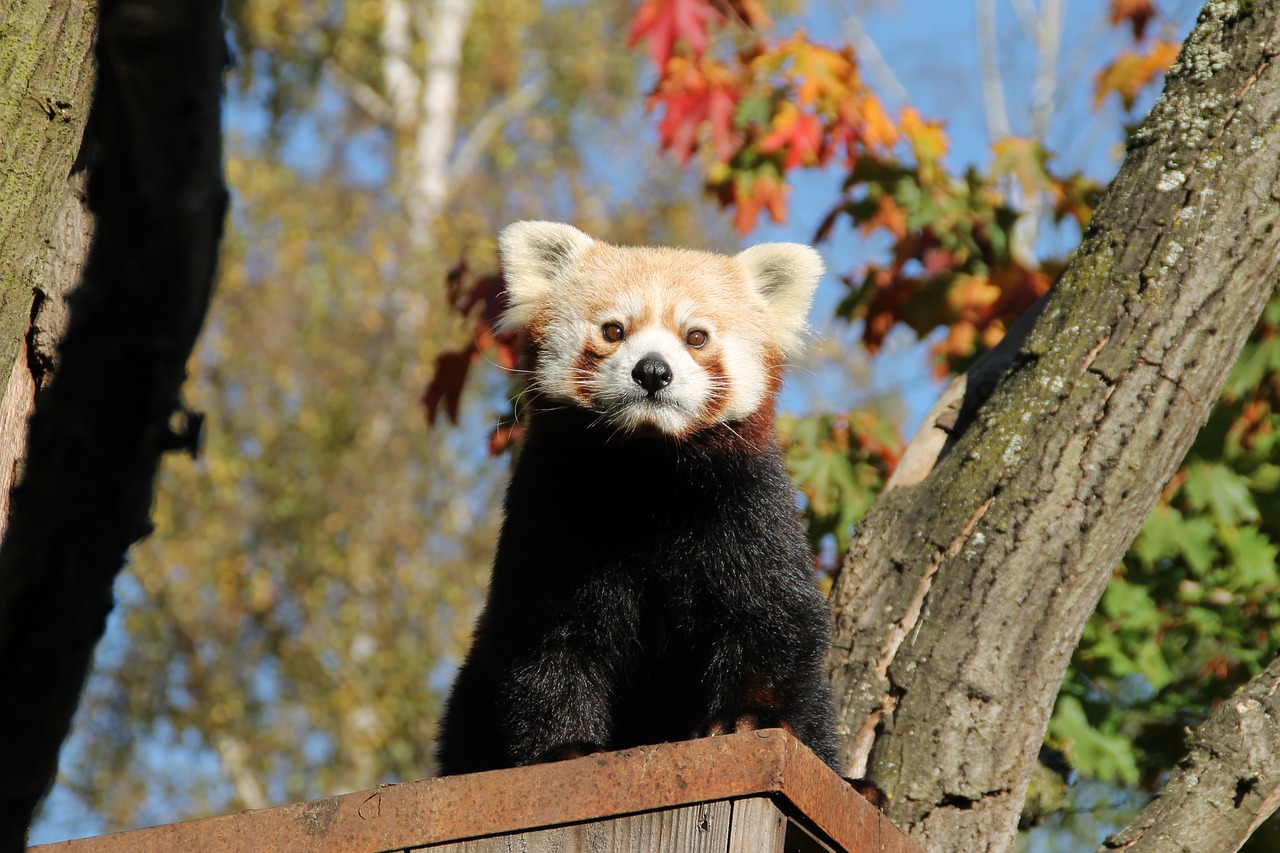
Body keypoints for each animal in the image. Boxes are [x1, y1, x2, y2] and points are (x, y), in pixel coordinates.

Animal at [435, 222, 844, 773]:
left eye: (696, 336)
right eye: (614, 330)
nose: (653, 371)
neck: (648, 476)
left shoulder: (750, 508)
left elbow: (771, 616)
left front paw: (746, 718)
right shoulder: (549, 513)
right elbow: (548, 636)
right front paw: (565, 746)